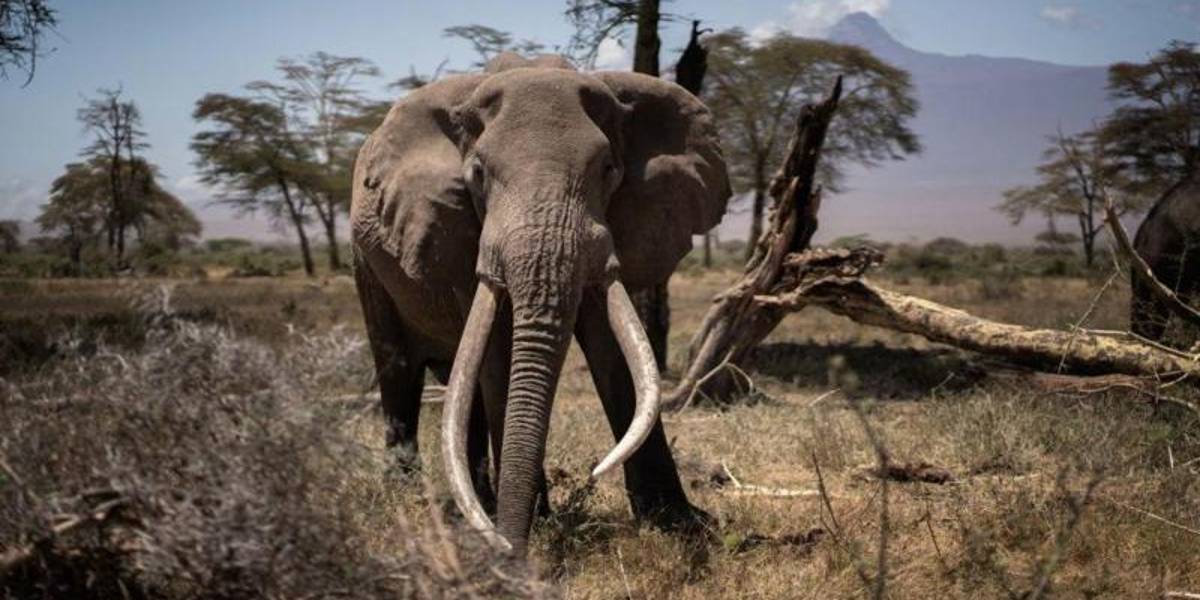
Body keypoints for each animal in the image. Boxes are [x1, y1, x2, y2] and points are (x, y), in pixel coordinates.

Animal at [350, 52, 731, 555]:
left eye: (608, 169)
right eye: (477, 174)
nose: (514, 550)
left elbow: (613, 347)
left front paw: (679, 523)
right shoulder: (461, 232)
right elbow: (498, 352)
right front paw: (532, 525)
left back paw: (480, 501)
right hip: (364, 263)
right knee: (397, 369)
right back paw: (410, 496)